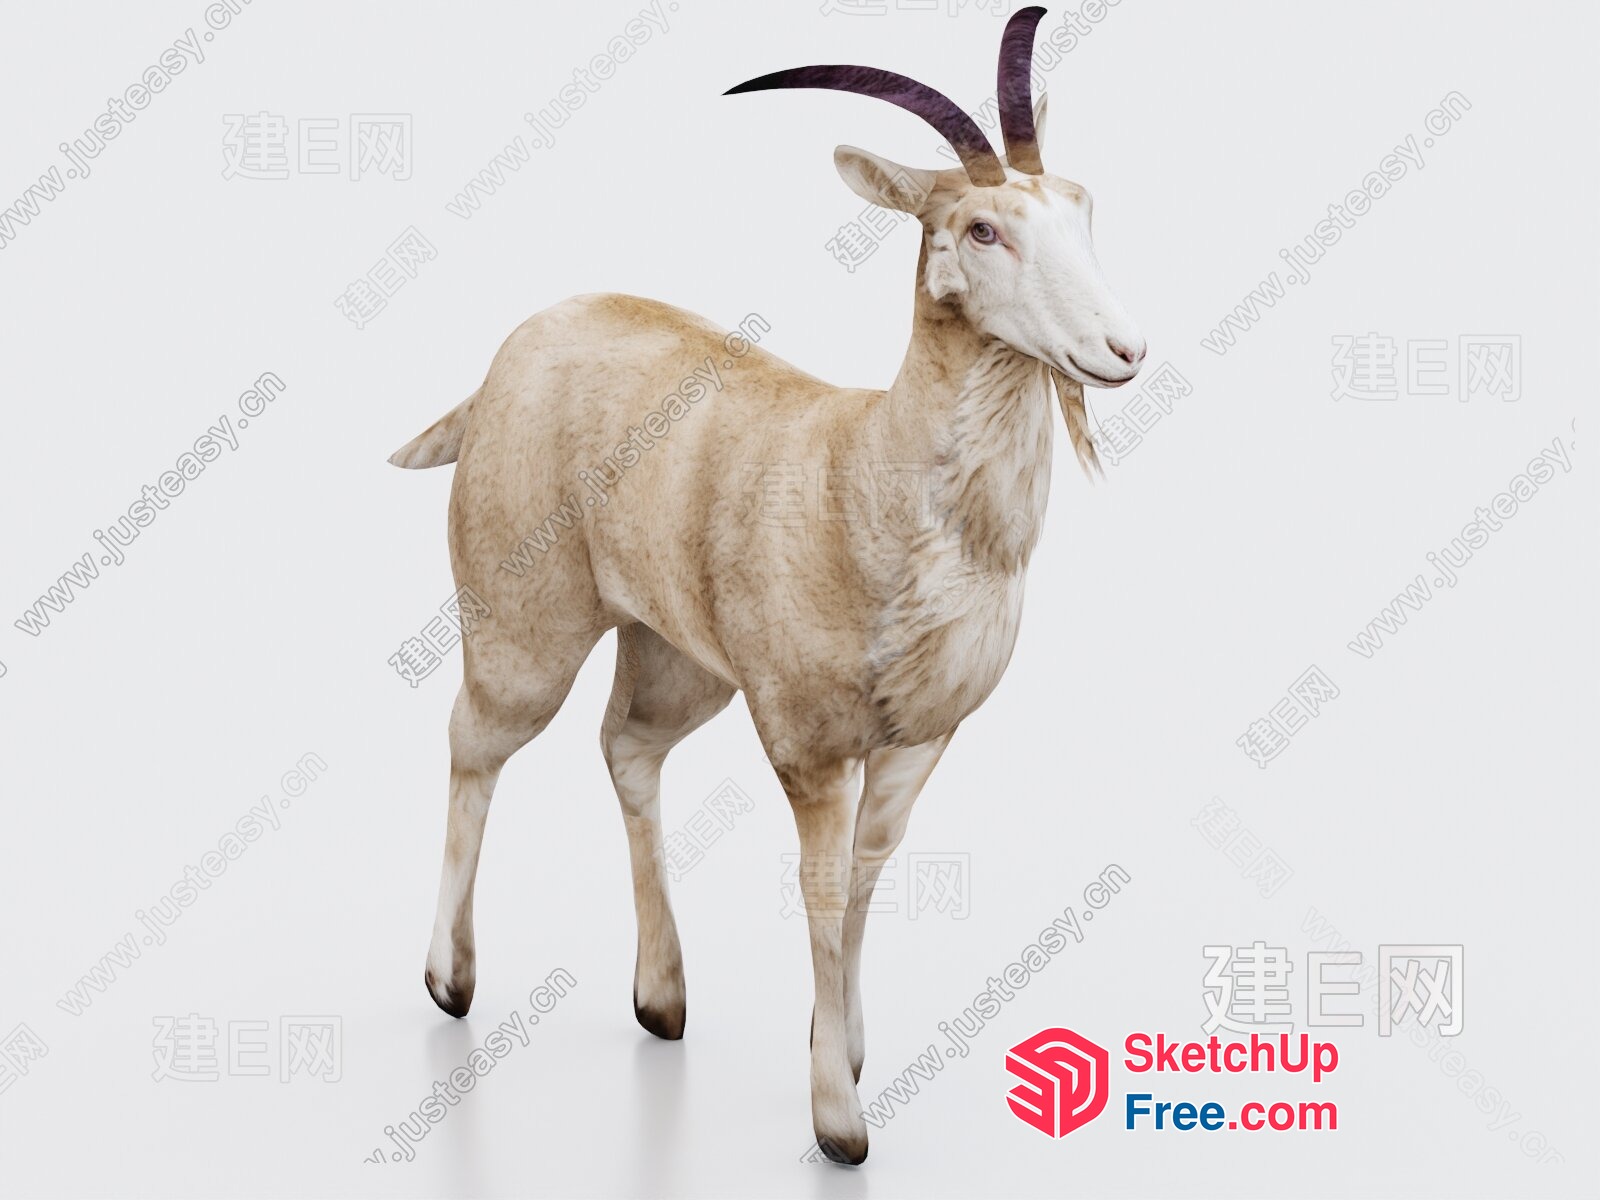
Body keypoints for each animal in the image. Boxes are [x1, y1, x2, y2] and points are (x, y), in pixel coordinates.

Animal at [390, 7, 1144, 1163]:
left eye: (1081, 205)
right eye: (982, 228)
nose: (1121, 349)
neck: (870, 469)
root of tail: (508, 356)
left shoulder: (918, 738)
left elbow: (871, 873)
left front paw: (849, 1051)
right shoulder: (806, 738)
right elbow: (822, 886)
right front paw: (838, 1122)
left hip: (676, 654)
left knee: (626, 743)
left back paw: (661, 1003)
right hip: (527, 626)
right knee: (474, 739)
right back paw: (450, 983)